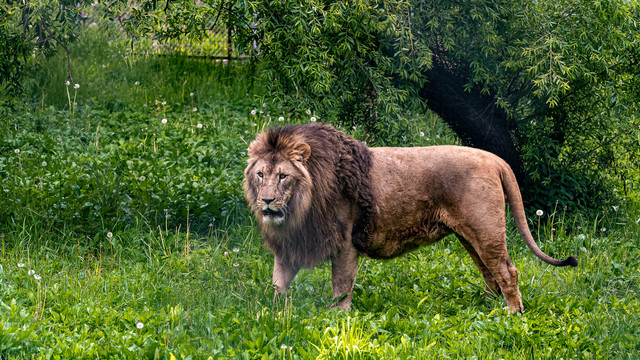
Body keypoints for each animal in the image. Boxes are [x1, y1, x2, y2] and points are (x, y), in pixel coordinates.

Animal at [242, 123, 576, 312]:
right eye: (261, 175)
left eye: (283, 176)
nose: (267, 201)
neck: (301, 207)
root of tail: (494, 159)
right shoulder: (289, 247)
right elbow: (278, 284)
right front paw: (272, 314)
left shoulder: (346, 243)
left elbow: (341, 286)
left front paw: (339, 319)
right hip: (471, 238)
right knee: (490, 273)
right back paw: (491, 309)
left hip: (486, 231)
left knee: (508, 271)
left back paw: (512, 314)